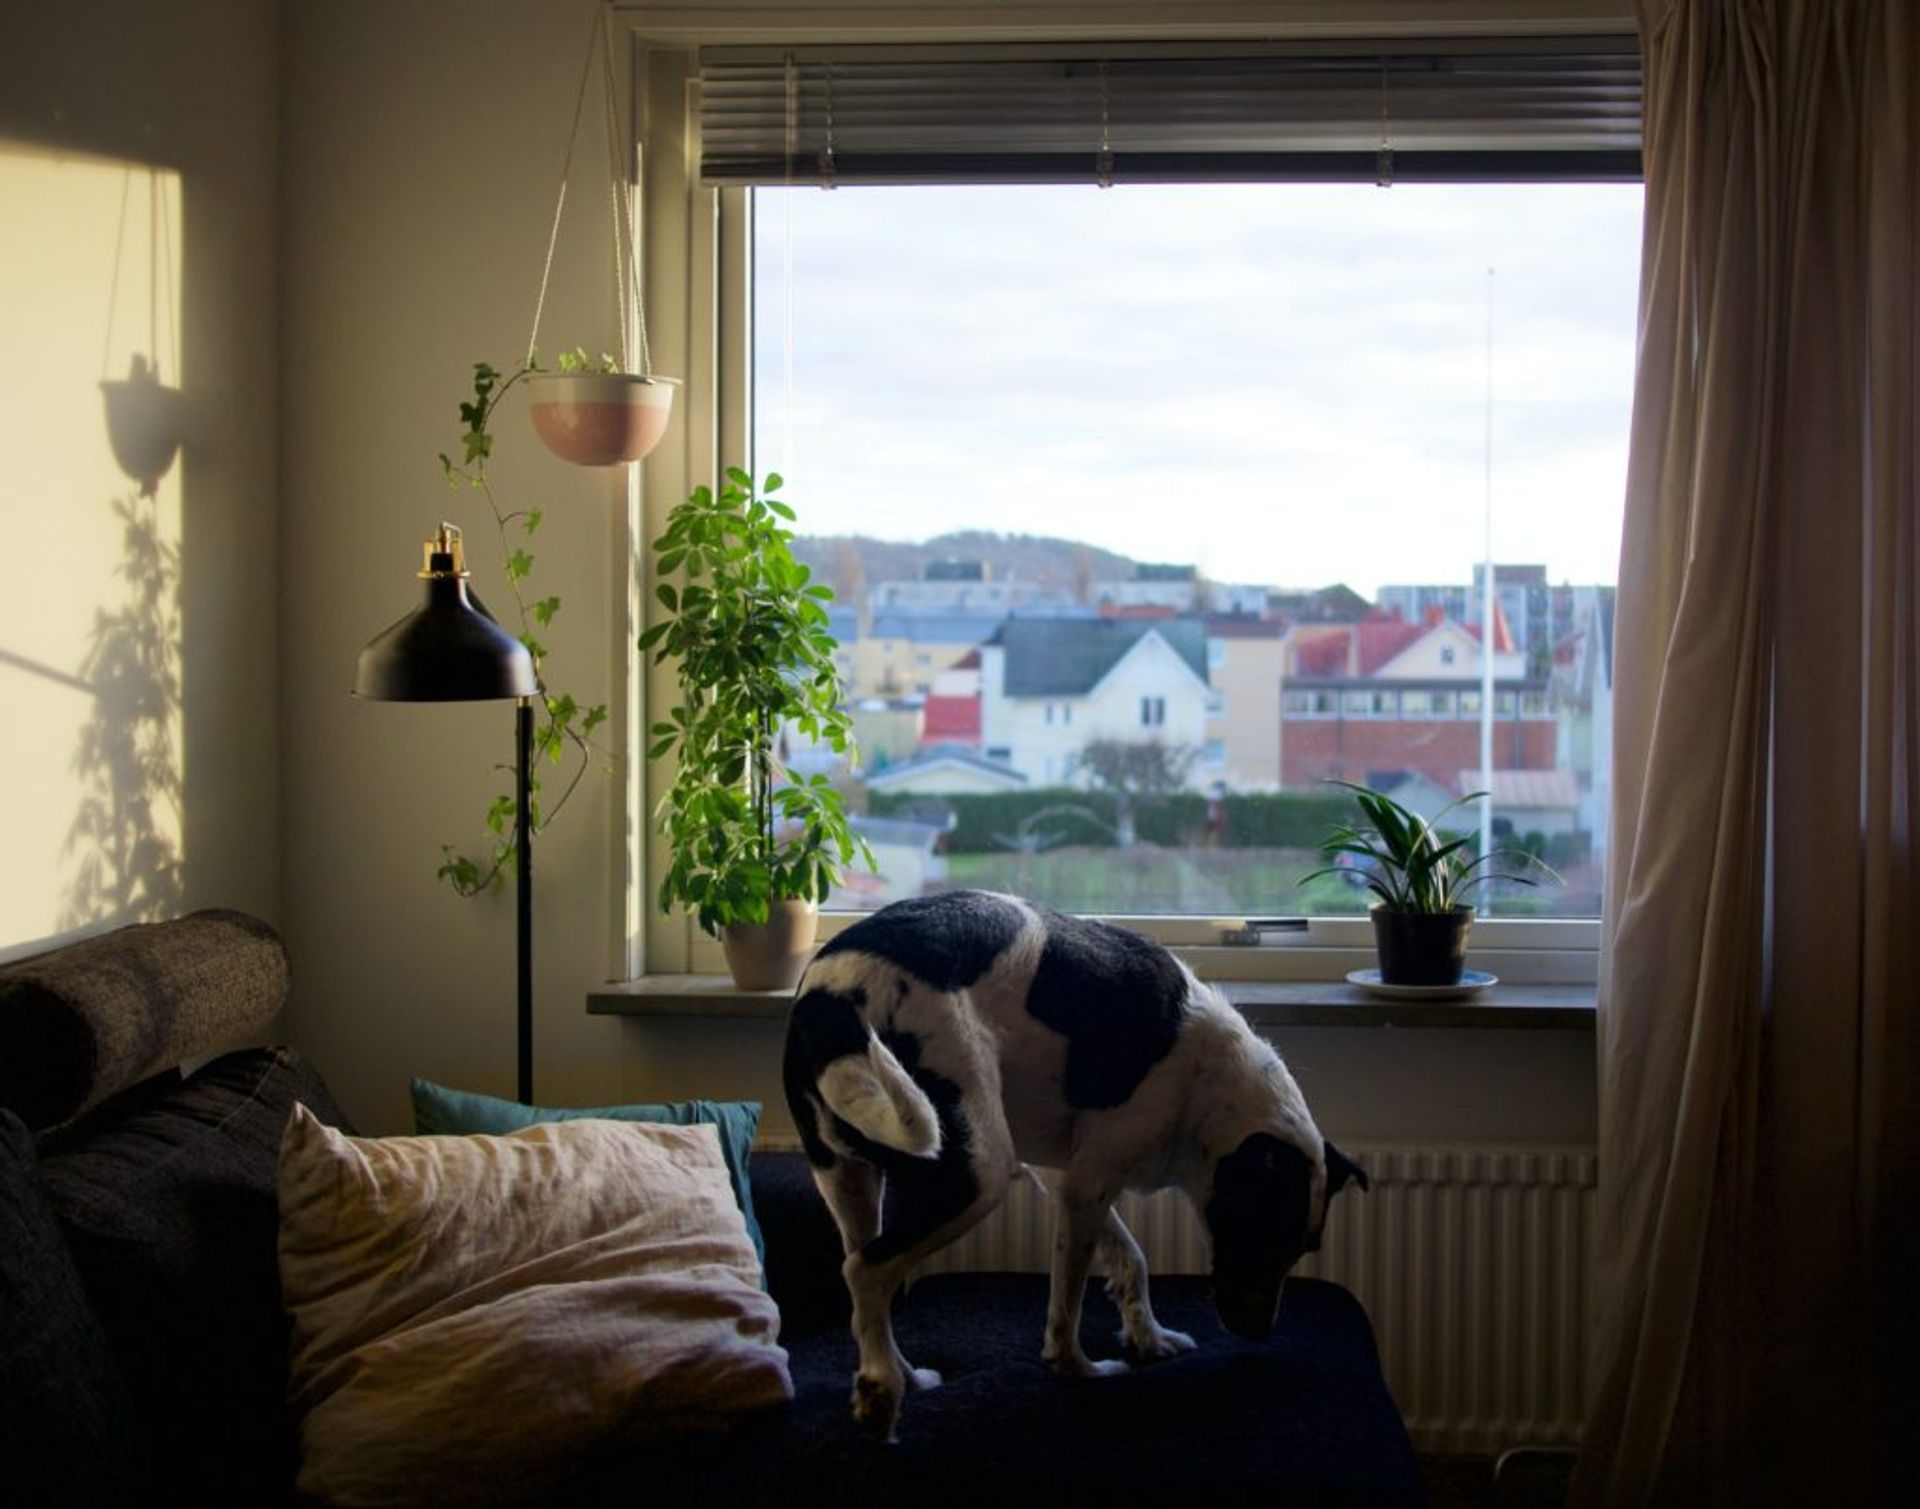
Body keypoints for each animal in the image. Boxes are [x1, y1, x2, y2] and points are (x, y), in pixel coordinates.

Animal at [779, 886, 1367, 1443]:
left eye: (1305, 1248)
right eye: (1265, 1232)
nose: (1261, 1333)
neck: (1212, 1088)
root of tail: (831, 996)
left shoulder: (1069, 1179)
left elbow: (1131, 1259)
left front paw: (1149, 1338)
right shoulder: (1087, 1187)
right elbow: (1069, 1302)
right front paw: (1079, 1369)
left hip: (848, 1178)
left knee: (867, 1279)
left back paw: (902, 1373)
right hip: (975, 1175)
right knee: (867, 1269)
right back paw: (880, 1390)